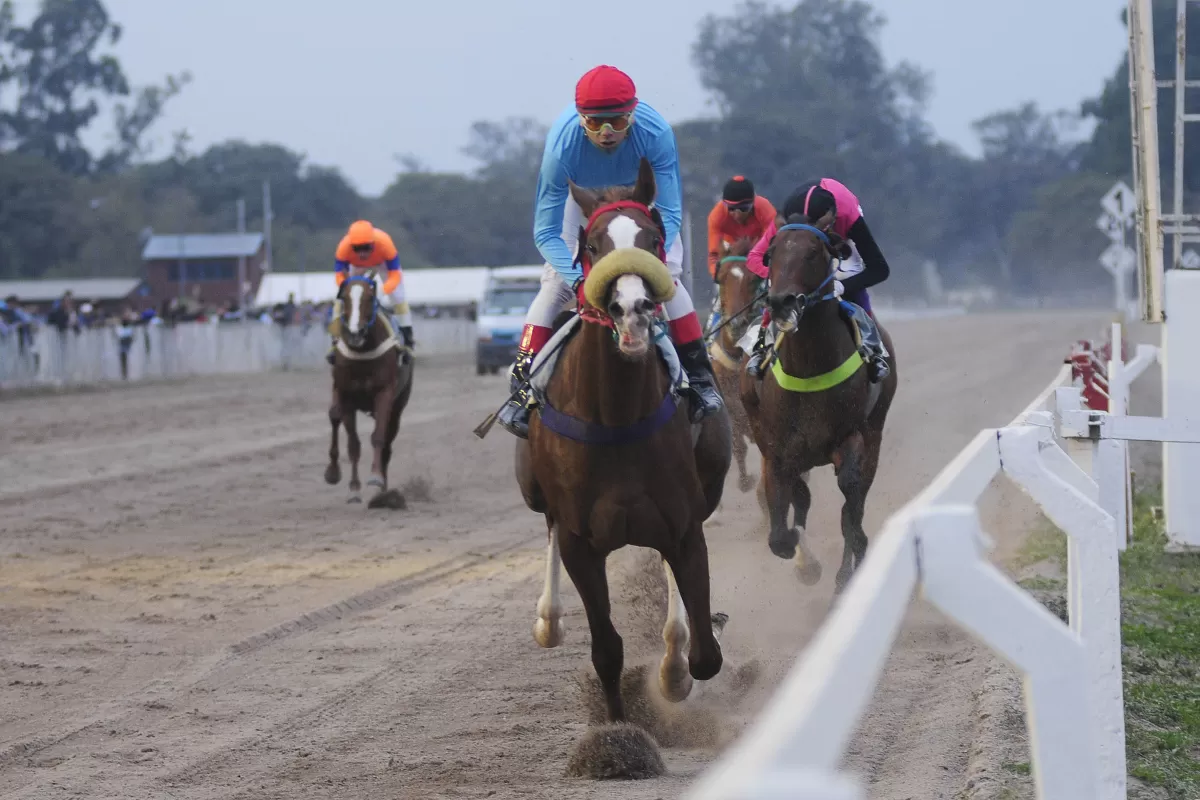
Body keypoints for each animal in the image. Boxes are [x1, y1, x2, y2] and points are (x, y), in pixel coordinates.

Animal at [324, 272, 412, 510]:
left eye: (370, 297)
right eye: (343, 297)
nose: (355, 333)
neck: (362, 351)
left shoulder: (384, 393)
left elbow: (378, 438)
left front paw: (375, 478)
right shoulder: (346, 395)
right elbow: (353, 444)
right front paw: (350, 486)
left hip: (398, 408)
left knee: (387, 446)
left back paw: (383, 491)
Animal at [516, 158, 729, 753]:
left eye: (653, 239)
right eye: (592, 244)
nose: (631, 309)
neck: (615, 418)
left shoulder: (684, 527)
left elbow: (703, 654)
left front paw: (675, 674)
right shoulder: (580, 541)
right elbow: (606, 650)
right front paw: (618, 735)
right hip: (535, 492)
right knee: (545, 530)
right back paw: (548, 620)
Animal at [734, 209, 897, 592]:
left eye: (812, 252)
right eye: (771, 253)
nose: (781, 301)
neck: (809, 368)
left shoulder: (850, 439)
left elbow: (849, 502)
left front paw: (846, 570)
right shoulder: (778, 451)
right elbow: (782, 530)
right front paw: (801, 556)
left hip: (875, 432)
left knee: (853, 503)